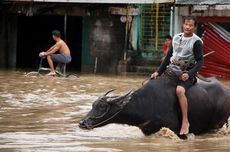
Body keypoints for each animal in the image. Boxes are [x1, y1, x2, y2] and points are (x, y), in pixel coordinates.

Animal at [79, 76, 230, 137]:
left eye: (102, 107)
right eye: (93, 105)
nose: (82, 123)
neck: (147, 103)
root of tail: (226, 90)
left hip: (216, 124)